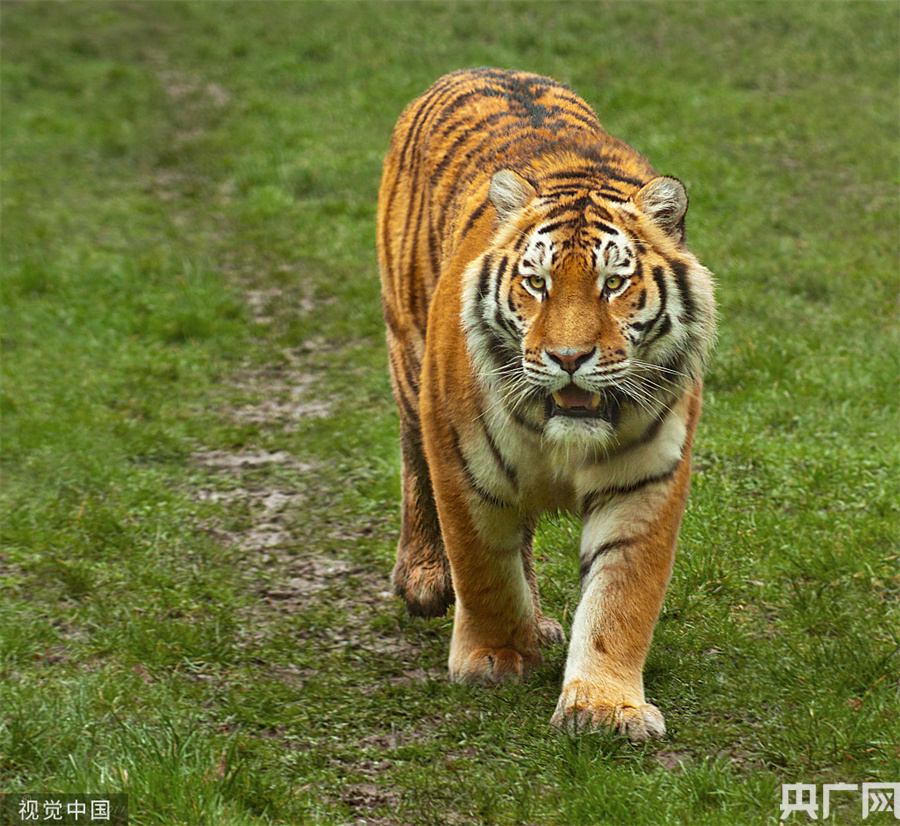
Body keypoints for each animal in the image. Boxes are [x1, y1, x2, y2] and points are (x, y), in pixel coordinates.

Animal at [376, 69, 712, 740]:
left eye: (613, 284)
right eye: (537, 283)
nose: (569, 356)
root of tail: (472, 69)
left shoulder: (646, 480)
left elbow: (621, 595)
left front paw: (605, 706)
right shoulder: (461, 461)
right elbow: (483, 566)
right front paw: (496, 655)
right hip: (407, 350)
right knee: (412, 459)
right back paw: (424, 579)